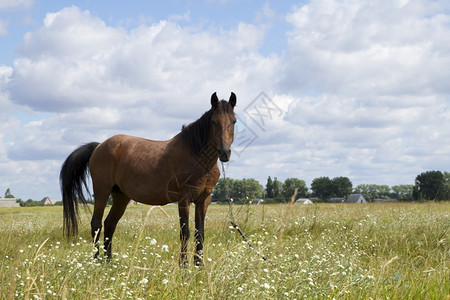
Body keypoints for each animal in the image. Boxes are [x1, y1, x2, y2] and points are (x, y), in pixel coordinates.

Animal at [60, 92, 237, 266]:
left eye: (234, 121)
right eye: (214, 122)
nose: (225, 153)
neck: (196, 157)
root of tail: (99, 146)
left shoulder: (203, 199)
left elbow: (199, 232)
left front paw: (199, 264)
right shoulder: (184, 199)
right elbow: (185, 231)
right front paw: (184, 264)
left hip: (121, 196)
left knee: (110, 224)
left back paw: (109, 261)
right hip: (102, 191)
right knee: (96, 224)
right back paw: (97, 260)